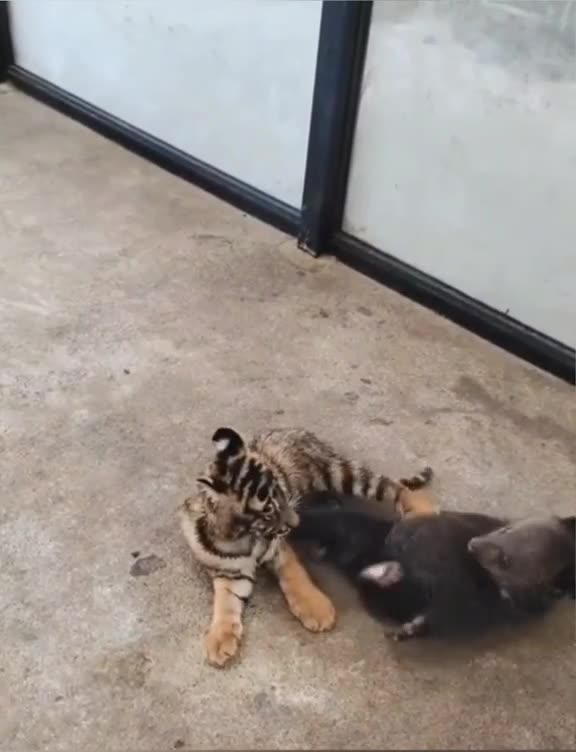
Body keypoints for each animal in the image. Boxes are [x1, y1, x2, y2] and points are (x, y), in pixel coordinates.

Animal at [178, 426, 436, 667]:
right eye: (268, 510)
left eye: (280, 494)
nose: (296, 523)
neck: (241, 538)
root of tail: (288, 429)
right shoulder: (229, 571)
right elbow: (225, 603)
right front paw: (219, 640)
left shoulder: (279, 549)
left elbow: (296, 578)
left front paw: (317, 610)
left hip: (338, 473)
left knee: (394, 486)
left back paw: (420, 512)